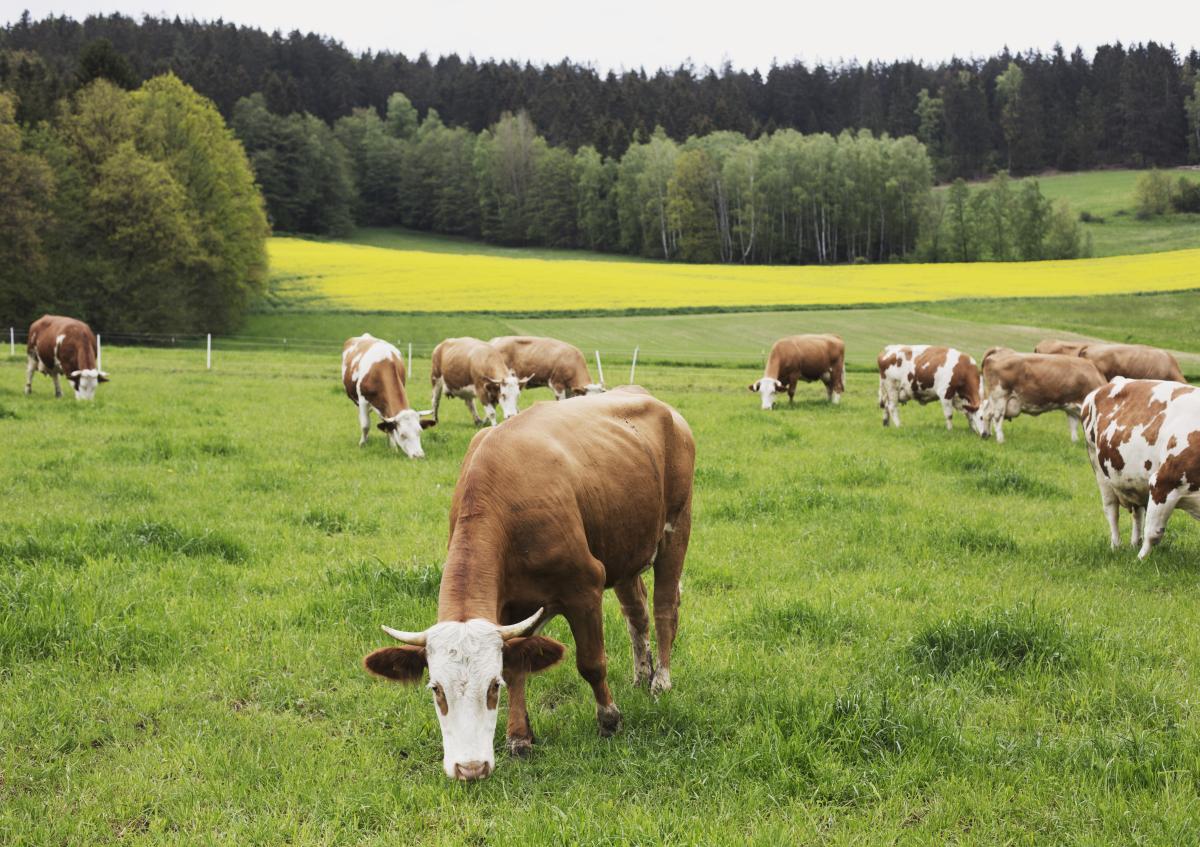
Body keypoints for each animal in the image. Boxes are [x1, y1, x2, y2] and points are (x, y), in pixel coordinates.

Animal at [360, 386, 696, 782]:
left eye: (492, 687)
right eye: (435, 688)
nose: (470, 768)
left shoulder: (585, 587)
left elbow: (591, 662)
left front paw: (609, 719)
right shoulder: (509, 608)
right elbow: (517, 665)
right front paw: (519, 737)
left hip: (676, 527)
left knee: (663, 609)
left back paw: (661, 681)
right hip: (625, 549)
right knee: (636, 613)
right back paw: (642, 673)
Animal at [979, 347, 1108, 446]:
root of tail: (1000, 350)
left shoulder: (1072, 408)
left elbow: (1073, 426)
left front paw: (1074, 443)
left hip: (993, 398)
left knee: (986, 413)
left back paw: (986, 434)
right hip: (1000, 396)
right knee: (997, 417)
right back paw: (1001, 440)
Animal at [1080, 376, 1200, 554]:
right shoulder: (1162, 483)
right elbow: (1153, 533)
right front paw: (1141, 558)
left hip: (1135, 482)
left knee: (1137, 512)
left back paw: (1134, 542)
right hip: (1097, 465)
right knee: (1111, 510)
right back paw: (1116, 545)